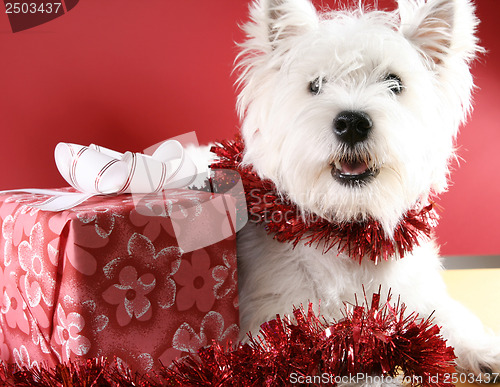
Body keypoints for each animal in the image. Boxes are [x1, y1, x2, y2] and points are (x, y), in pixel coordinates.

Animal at [207, 0, 500, 378]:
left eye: (395, 83)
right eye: (316, 85)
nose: (351, 123)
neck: (349, 232)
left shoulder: (416, 293)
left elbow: (447, 317)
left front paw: (485, 349)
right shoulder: (277, 332)